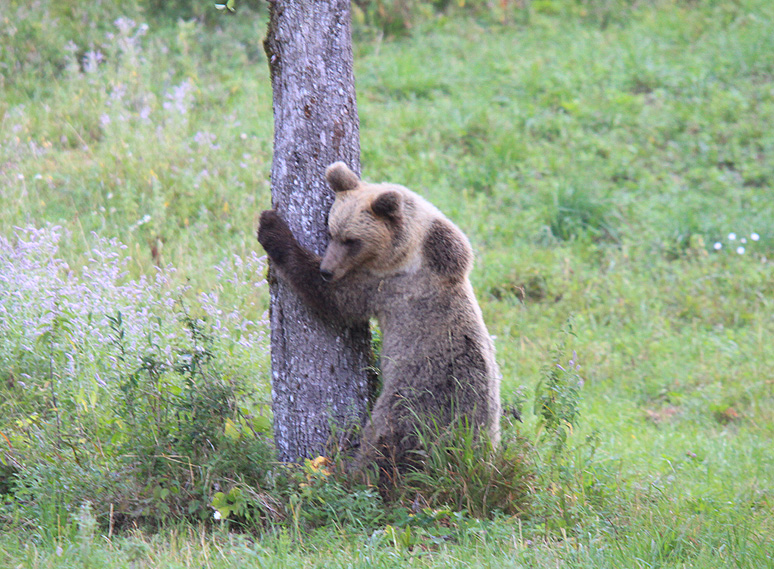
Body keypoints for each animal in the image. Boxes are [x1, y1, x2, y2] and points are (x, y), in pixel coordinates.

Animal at [260, 162, 504, 478]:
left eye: (352, 240)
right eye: (331, 230)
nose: (327, 269)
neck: (411, 248)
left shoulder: (386, 284)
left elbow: (335, 301)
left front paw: (271, 227)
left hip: (415, 401)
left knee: (385, 440)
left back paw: (348, 469)